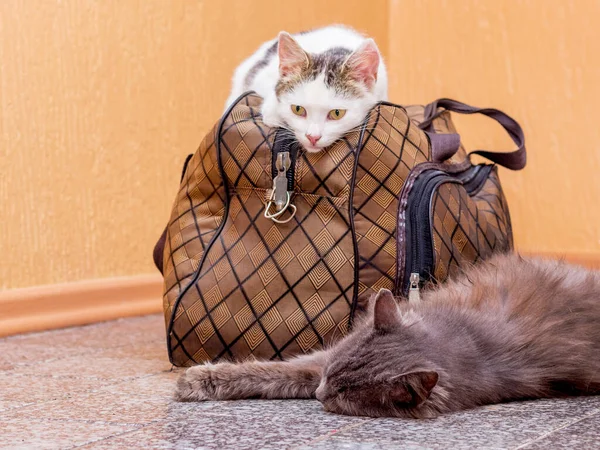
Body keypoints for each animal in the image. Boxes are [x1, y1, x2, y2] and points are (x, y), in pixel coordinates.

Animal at [175, 253, 600, 418]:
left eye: (344, 393)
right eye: (331, 379)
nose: (320, 394)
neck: (465, 342)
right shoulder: (320, 361)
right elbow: (275, 371)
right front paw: (199, 379)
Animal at [223, 24, 386, 151]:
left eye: (337, 113)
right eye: (298, 109)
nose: (312, 137)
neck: (331, 51)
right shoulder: (261, 75)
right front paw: (273, 113)